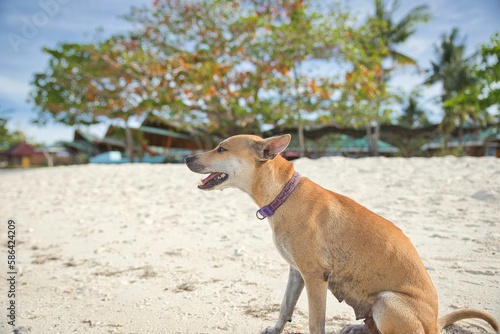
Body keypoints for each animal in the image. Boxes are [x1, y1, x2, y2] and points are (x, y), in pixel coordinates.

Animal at [186, 134, 498, 332]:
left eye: (222, 149)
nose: (187, 157)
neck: (284, 193)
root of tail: (434, 323)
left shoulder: (315, 277)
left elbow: (316, 323)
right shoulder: (296, 273)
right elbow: (285, 308)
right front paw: (275, 329)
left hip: (387, 301)